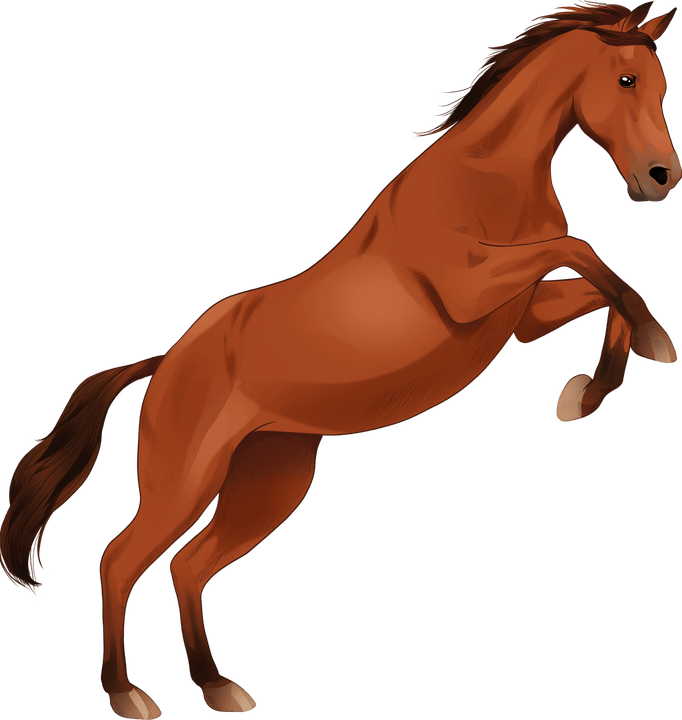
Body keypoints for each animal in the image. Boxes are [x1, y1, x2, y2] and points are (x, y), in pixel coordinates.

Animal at [1, 2, 679, 717]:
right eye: (628, 80)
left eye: (663, 88)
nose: (662, 178)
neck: (482, 181)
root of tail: (163, 365)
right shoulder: (470, 289)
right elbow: (581, 250)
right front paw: (649, 348)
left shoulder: (519, 319)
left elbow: (599, 286)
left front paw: (587, 391)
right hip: (184, 481)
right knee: (119, 560)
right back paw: (128, 694)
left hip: (271, 477)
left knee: (189, 566)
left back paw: (218, 686)